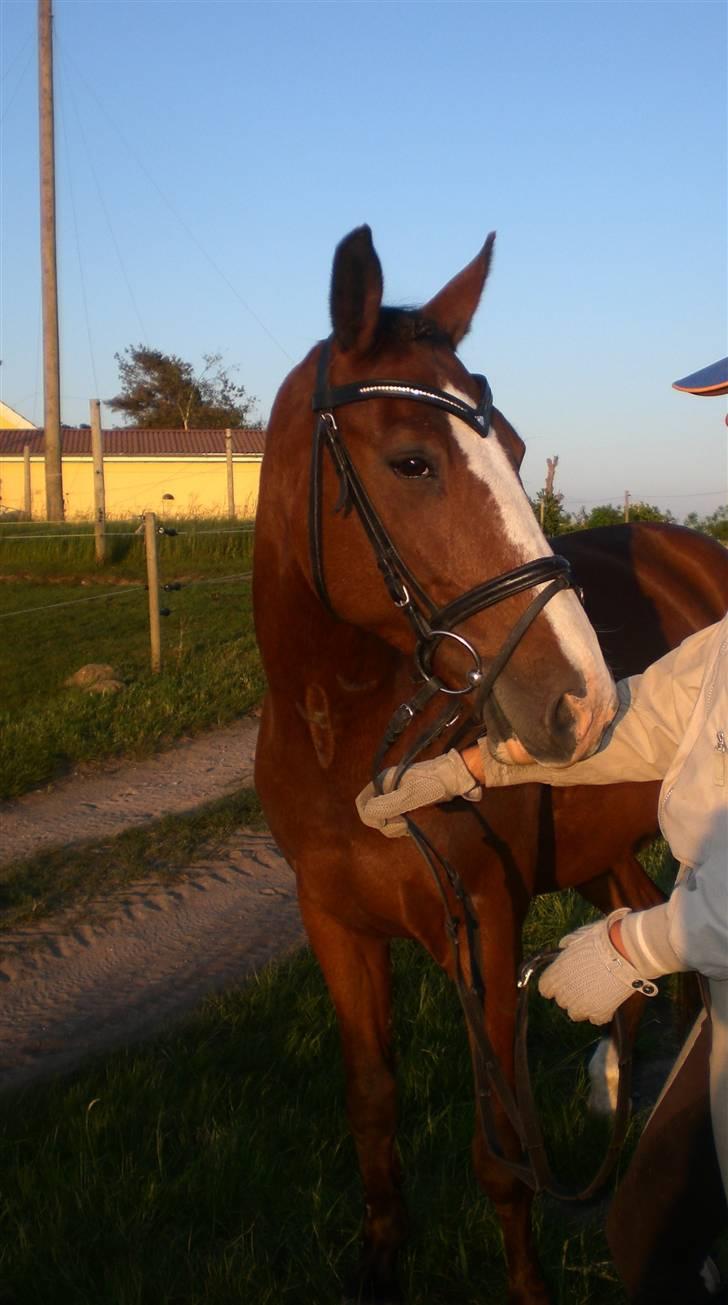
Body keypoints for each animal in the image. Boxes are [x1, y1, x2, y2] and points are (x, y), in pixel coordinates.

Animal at [255, 227, 728, 1305]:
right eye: (412, 461)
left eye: (513, 452)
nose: (582, 701)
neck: (342, 741)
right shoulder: (334, 926)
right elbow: (374, 1125)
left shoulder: (484, 921)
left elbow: (499, 1155)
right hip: (598, 850)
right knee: (645, 920)